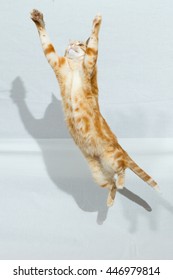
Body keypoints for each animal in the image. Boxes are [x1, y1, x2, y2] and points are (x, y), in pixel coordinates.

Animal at [30, 9, 158, 206]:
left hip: (113, 158)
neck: (74, 65)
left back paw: (121, 183)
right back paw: (110, 201)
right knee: (111, 183)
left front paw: (96, 23)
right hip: (98, 175)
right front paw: (38, 20)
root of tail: (120, 147)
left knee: (122, 170)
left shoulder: (90, 64)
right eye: (71, 44)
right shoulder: (55, 61)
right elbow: (46, 42)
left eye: (80, 44)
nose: (72, 45)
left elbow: (94, 45)